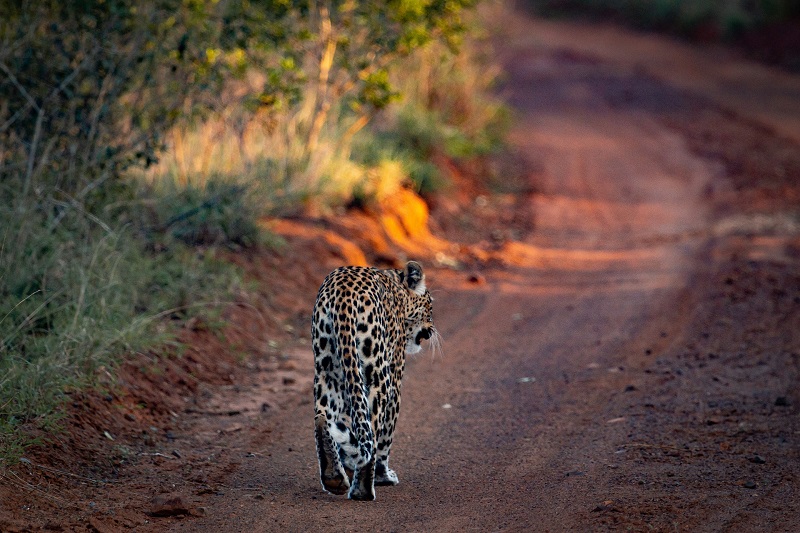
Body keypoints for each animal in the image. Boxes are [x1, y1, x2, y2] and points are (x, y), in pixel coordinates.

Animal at [310, 260, 438, 500]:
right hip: (378, 377)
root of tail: (343, 293)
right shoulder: (395, 377)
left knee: (323, 418)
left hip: (327, 370)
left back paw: (334, 477)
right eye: (430, 306)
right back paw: (363, 489)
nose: (431, 330)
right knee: (374, 427)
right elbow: (385, 436)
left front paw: (348, 463)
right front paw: (383, 476)